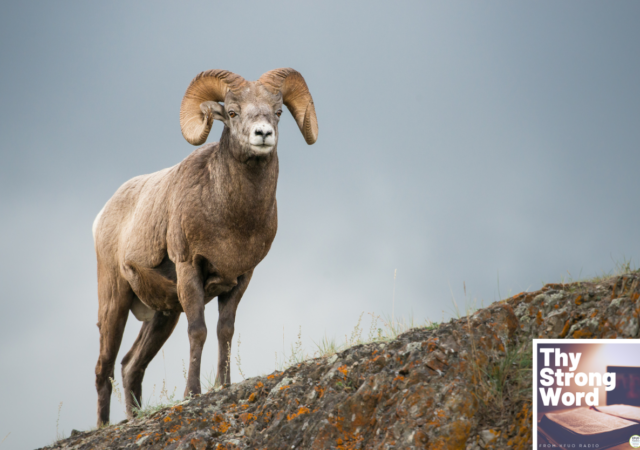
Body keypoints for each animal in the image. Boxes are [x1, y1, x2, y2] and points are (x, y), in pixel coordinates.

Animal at [92, 68, 318, 425]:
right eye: (233, 112)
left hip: (163, 315)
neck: (231, 218)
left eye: (278, 112)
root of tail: (102, 217)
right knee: (105, 367)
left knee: (131, 366)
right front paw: (193, 394)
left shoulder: (240, 278)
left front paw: (223, 386)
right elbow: (198, 331)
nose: (263, 134)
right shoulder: (189, 271)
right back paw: (104, 426)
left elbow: (225, 330)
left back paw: (133, 417)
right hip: (115, 300)